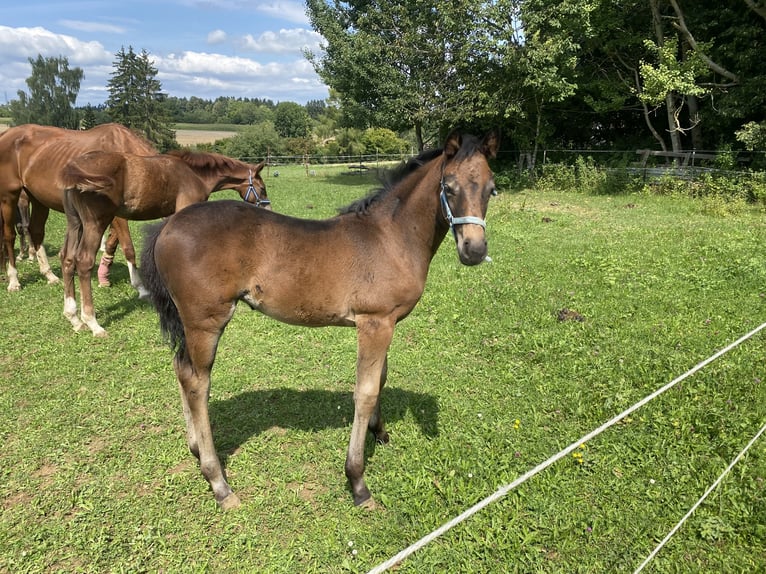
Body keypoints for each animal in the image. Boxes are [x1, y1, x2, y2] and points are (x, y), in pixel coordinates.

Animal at [0, 123, 157, 292]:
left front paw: (104, 276)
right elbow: (128, 247)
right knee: (9, 235)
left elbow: (112, 242)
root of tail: (6, 134)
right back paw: (13, 280)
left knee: (35, 230)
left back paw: (49, 275)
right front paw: (140, 286)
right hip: (9, 197)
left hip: (37, 198)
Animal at [60, 149, 269, 337]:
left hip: (75, 222)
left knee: (67, 259)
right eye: (262, 188)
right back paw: (93, 323)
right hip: (95, 222)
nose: (268, 208)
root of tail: (74, 165)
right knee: (84, 261)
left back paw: (74, 318)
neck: (194, 174)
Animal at [140, 130, 499, 509]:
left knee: (181, 369)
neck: (390, 238)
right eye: (449, 187)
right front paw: (357, 481)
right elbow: (365, 391)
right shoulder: (373, 323)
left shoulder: (387, 322)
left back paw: (195, 447)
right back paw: (219, 482)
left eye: (491, 188)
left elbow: (381, 378)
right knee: (197, 384)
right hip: (205, 322)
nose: (474, 250)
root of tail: (167, 225)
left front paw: (380, 432)